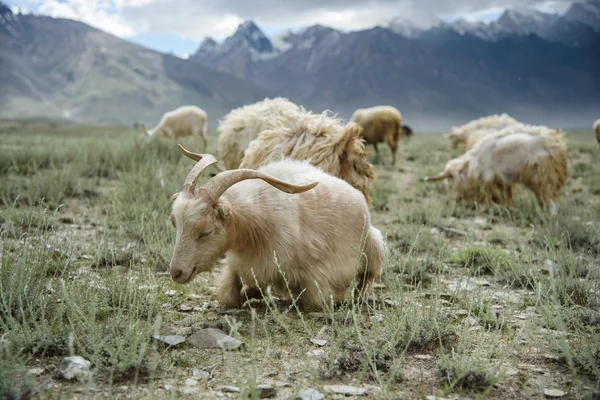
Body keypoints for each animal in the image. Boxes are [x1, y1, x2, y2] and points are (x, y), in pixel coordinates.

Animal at [169, 145, 384, 310]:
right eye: (175, 224)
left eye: (206, 231)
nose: (176, 272)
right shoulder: (240, 264)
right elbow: (230, 296)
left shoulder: (316, 274)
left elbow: (313, 300)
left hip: (375, 246)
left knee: (368, 278)